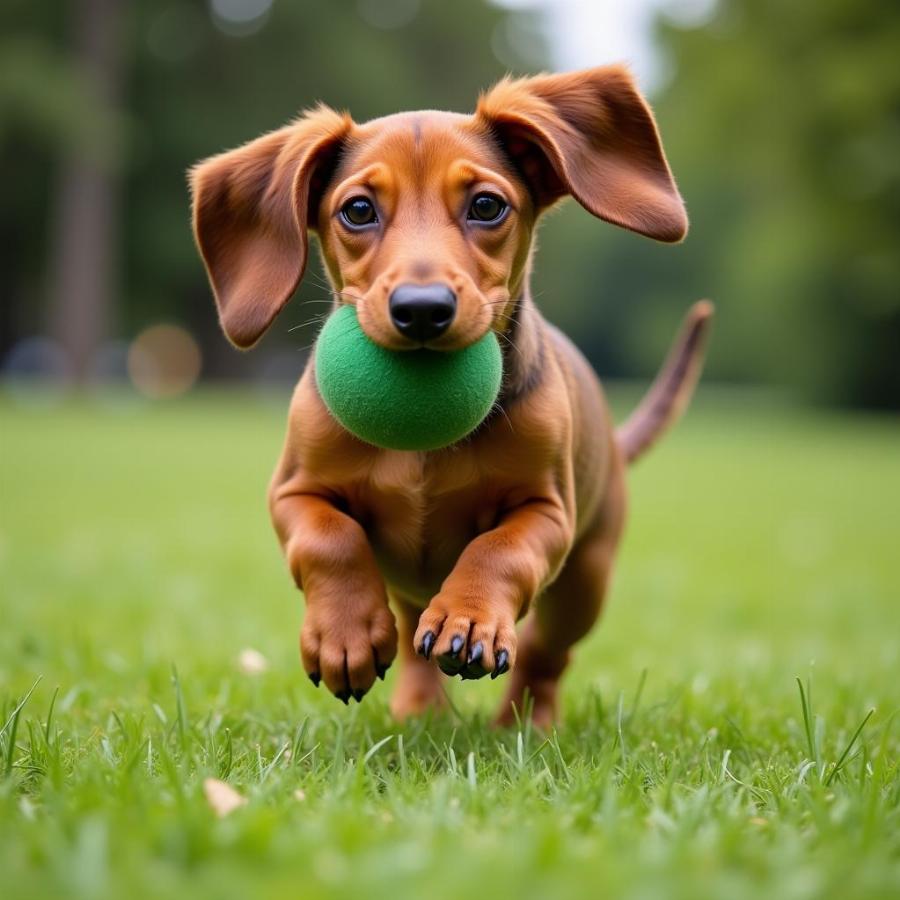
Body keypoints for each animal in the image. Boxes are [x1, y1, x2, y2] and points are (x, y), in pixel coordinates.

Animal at [190, 67, 712, 728]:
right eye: (357, 210)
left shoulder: (547, 511)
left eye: (486, 205)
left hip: (585, 581)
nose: (422, 310)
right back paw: (420, 710)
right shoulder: (293, 491)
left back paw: (528, 723)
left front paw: (472, 616)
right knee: (415, 638)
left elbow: (499, 550)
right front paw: (345, 633)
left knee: (546, 654)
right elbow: (329, 539)